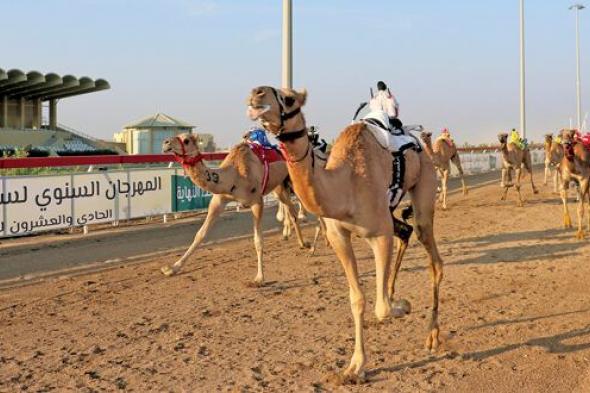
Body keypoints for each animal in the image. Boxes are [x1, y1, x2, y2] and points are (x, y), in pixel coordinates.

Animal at [162, 133, 310, 284]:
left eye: (186, 140)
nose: (166, 143)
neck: (233, 177)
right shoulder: (218, 201)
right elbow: (200, 234)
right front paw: (172, 268)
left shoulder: (257, 202)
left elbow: (258, 240)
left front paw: (259, 277)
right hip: (279, 187)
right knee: (291, 210)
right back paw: (302, 243)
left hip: (293, 180)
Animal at [247, 85, 446, 380]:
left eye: (290, 99)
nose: (256, 94)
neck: (345, 186)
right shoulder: (339, 236)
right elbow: (357, 299)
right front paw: (355, 366)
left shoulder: (379, 234)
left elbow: (382, 308)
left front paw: (401, 306)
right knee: (405, 231)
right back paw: (393, 292)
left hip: (424, 181)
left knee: (432, 256)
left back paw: (432, 335)